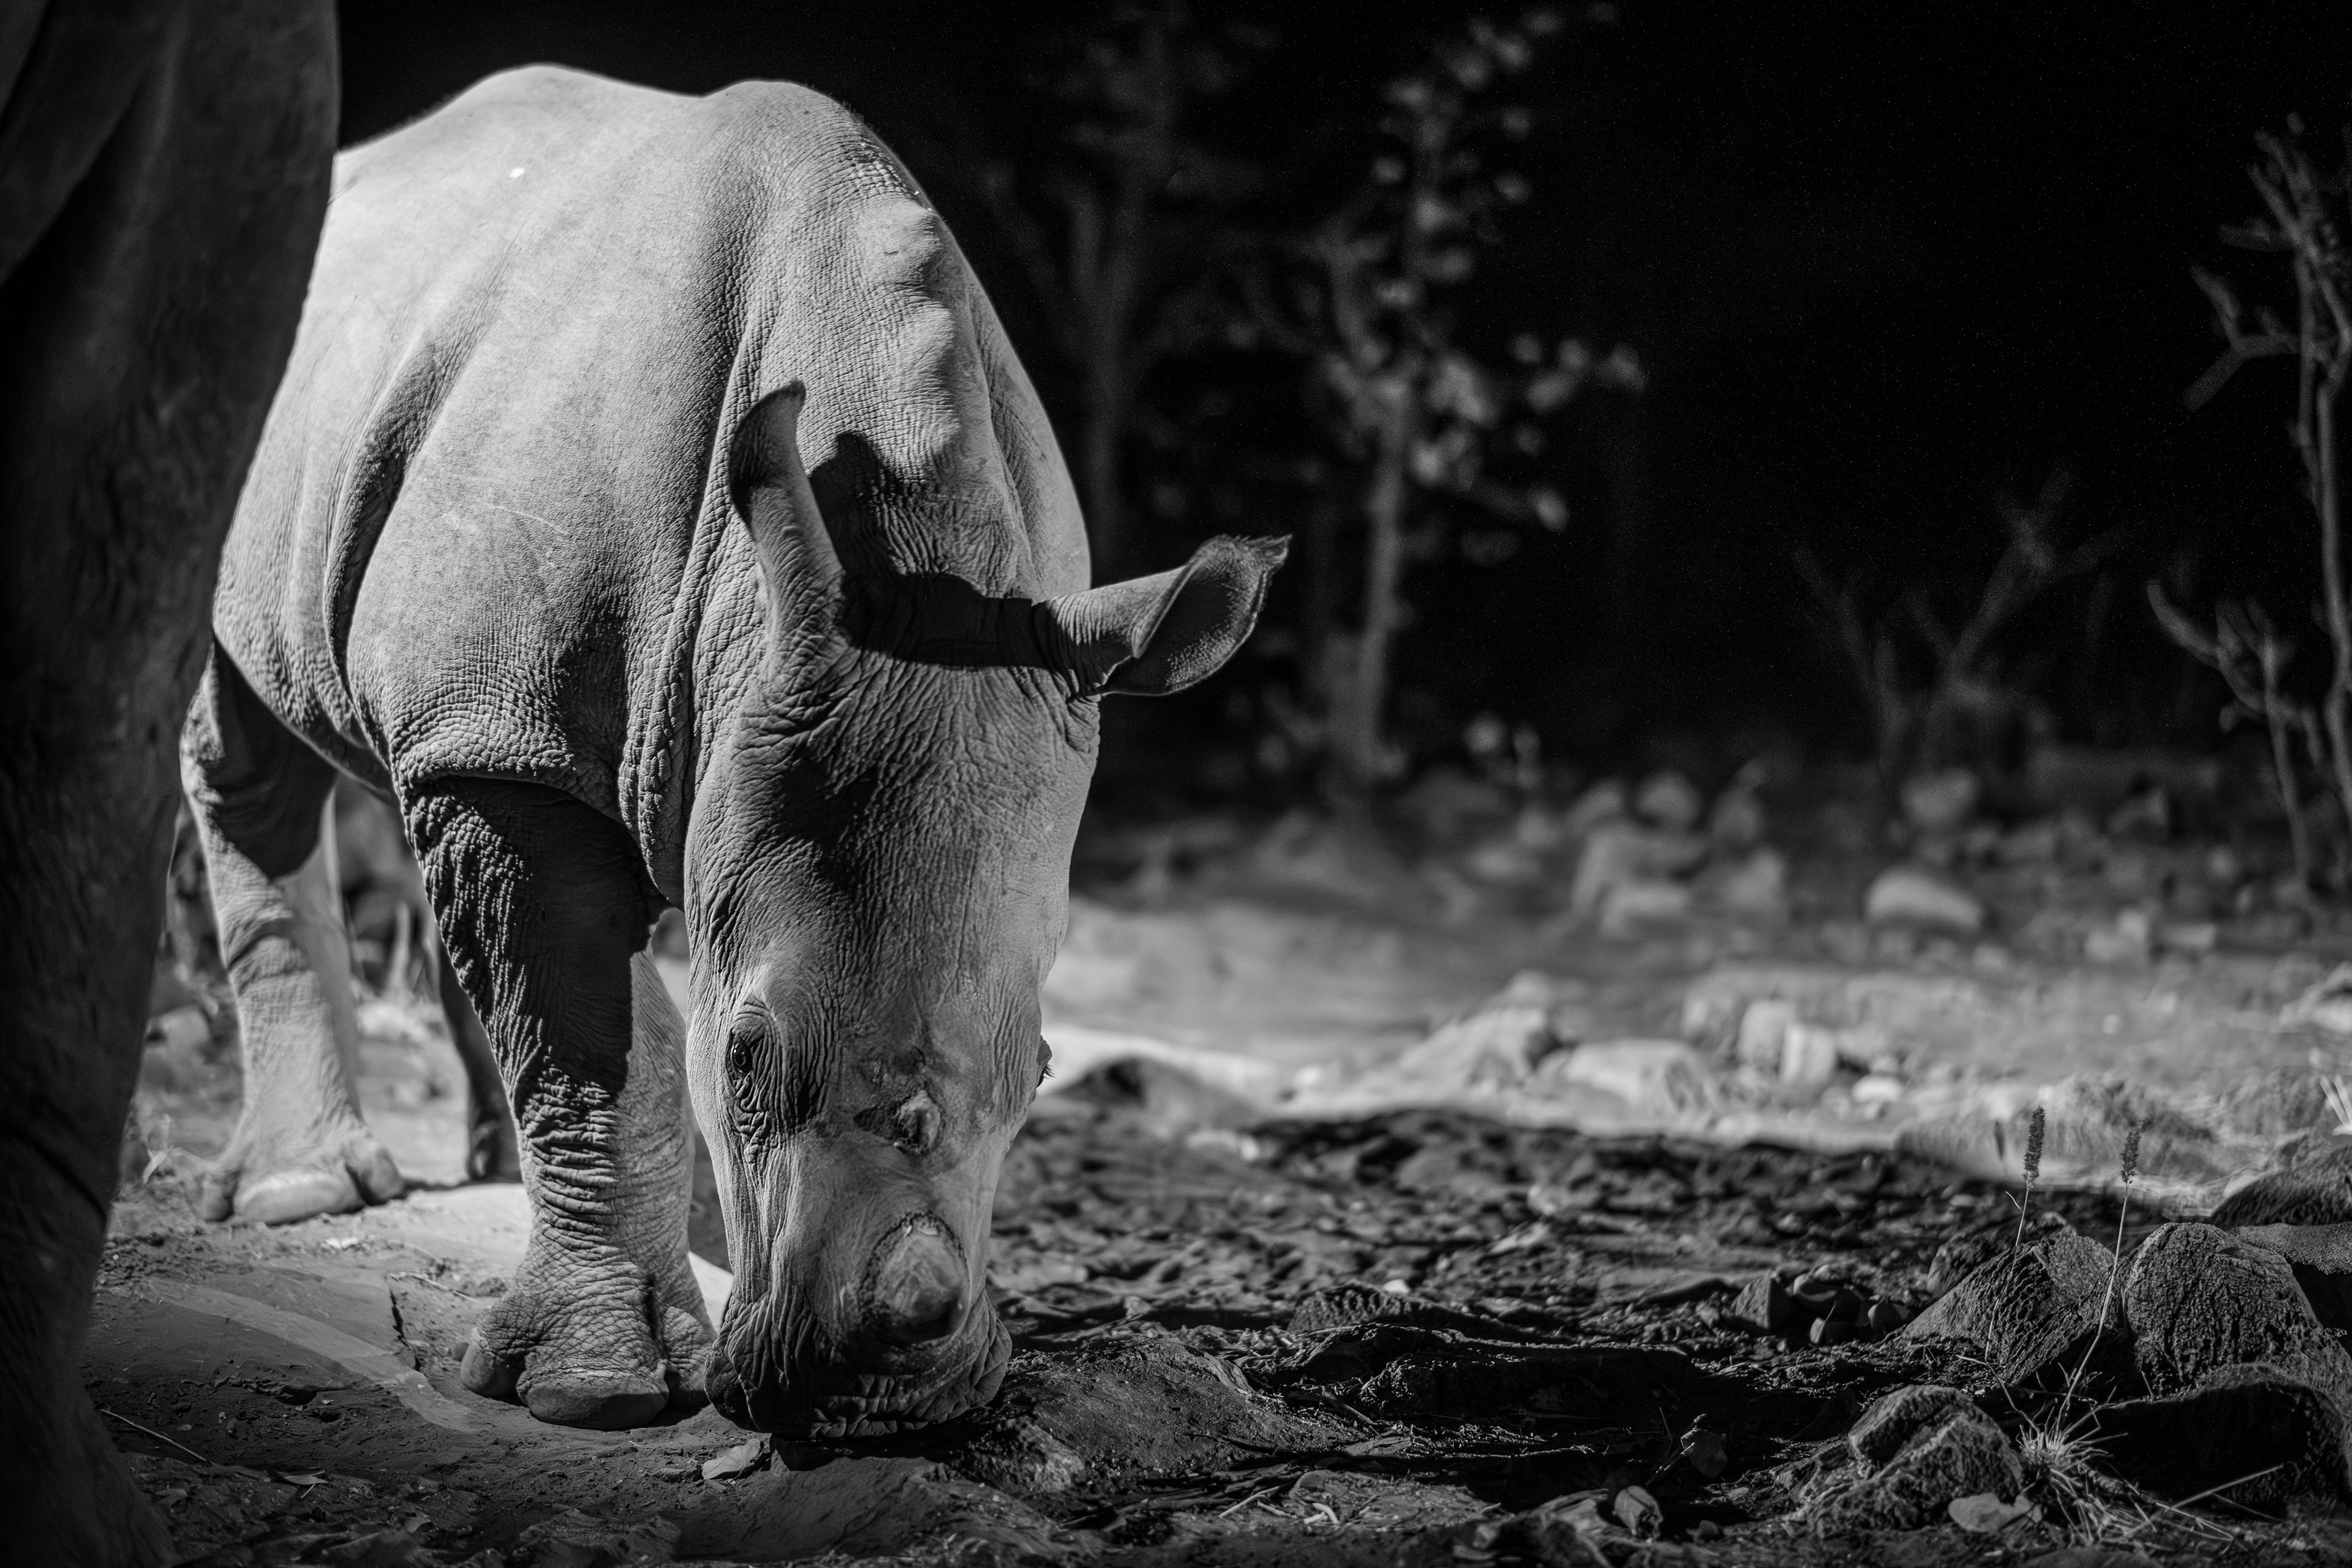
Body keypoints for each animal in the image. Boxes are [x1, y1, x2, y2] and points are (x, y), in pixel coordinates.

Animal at [184, 64, 1285, 1437]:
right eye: (748, 1060)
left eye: (1043, 1069)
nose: (887, 1391)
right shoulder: (517, 723)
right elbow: (589, 1040)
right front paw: (596, 1391)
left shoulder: (577, 719)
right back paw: (303, 1199)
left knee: (433, 808)